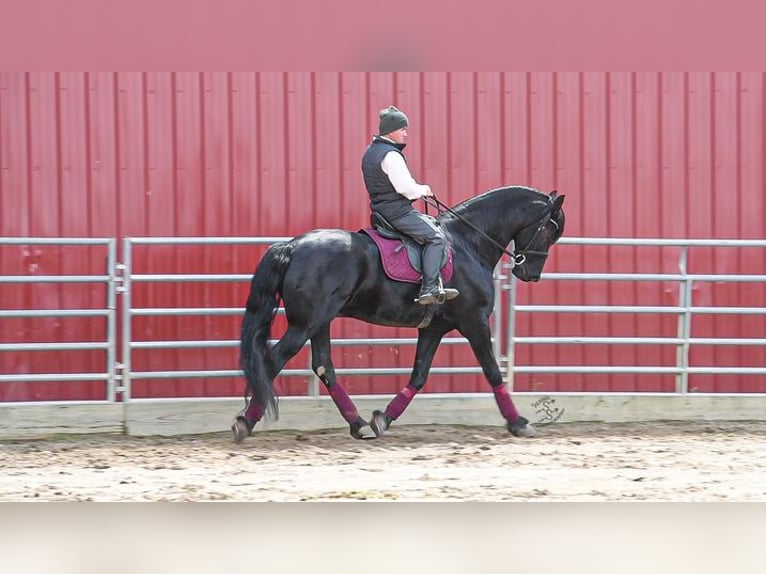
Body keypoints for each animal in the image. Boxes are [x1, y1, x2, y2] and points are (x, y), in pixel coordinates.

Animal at [232, 187, 564, 444]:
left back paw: (359, 425)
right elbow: (493, 371)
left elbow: (418, 376)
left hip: (320, 322)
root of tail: (292, 245)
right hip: (305, 324)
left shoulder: (434, 329)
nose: (529, 273)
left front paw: (383, 419)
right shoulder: (475, 321)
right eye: (550, 229)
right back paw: (245, 422)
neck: (468, 242)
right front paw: (519, 423)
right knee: (272, 362)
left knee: (324, 367)